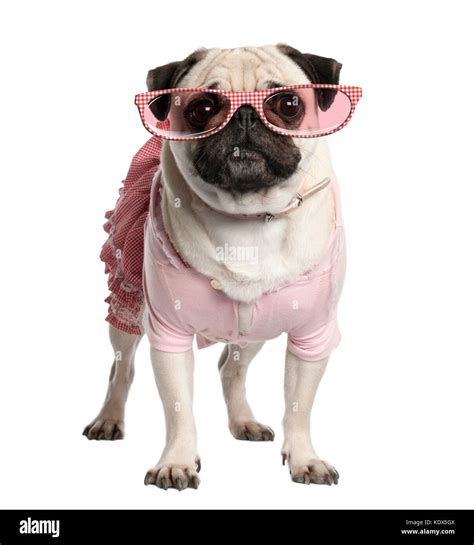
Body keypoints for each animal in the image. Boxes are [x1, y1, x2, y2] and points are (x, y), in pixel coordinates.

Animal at [83, 44, 356, 488]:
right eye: (204, 108)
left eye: (289, 104)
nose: (244, 116)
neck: (250, 218)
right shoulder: (168, 334)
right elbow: (178, 408)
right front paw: (176, 461)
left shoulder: (312, 335)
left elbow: (299, 405)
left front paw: (304, 458)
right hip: (128, 305)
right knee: (120, 370)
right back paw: (108, 419)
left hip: (258, 328)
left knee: (231, 368)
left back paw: (243, 421)